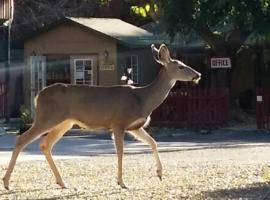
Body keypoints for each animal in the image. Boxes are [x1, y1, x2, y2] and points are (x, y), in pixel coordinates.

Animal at [2, 43, 200, 189]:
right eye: (181, 66)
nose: (198, 74)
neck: (143, 99)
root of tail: (38, 96)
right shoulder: (118, 122)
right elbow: (120, 152)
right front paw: (122, 182)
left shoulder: (135, 126)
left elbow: (153, 142)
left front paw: (159, 173)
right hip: (47, 117)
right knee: (22, 139)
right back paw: (6, 182)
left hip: (64, 122)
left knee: (45, 144)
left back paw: (62, 182)